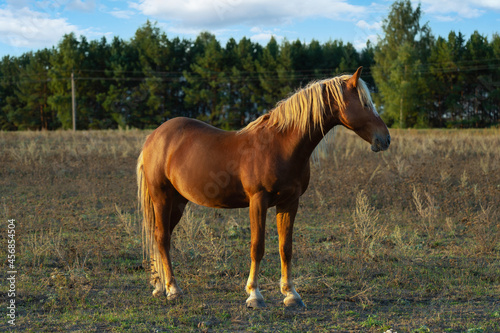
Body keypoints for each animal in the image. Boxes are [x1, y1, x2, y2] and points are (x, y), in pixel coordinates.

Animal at [137, 66, 390, 308]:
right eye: (365, 103)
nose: (385, 139)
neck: (280, 145)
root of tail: (155, 136)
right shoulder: (258, 200)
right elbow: (257, 246)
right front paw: (254, 295)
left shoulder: (290, 202)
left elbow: (285, 247)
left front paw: (291, 294)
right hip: (162, 197)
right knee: (162, 238)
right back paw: (173, 289)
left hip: (178, 202)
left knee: (161, 236)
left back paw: (159, 285)